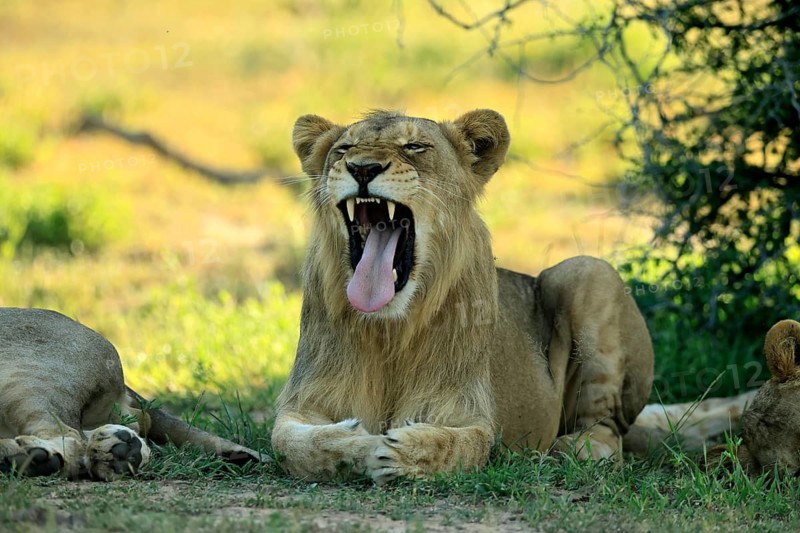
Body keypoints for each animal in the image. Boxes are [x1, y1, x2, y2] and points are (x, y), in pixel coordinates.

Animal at [271, 109, 655, 484]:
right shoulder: (304, 399)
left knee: (608, 432)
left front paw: (405, 452)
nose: (362, 167)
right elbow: (290, 443)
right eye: (344, 148)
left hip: (589, 272)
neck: (390, 330)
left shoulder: (467, 408)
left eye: (414, 146)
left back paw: (572, 450)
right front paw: (358, 444)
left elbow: (464, 444)